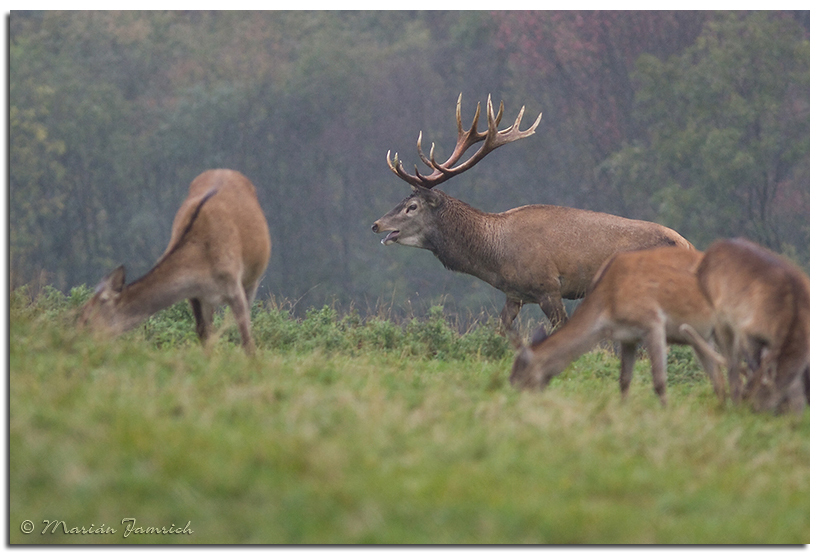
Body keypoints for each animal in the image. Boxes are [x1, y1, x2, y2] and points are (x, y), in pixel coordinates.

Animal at [77, 168, 270, 356]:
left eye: (86, 319)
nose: (78, 342)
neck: (202, 264)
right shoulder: (196, 296)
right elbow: (204, 338)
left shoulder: (234, 286)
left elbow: (247, 342)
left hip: (252, 279)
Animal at [374, 94, 696, 334]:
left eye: (412, 207)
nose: (376, 224)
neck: (496, 255)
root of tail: (690, 247)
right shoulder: (515, 294)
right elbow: (500, 331)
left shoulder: (549, 287)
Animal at [510, 247, 728, 406]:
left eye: (521, 378)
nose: (516, 399)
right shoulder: (627, 336)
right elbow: (624, 380)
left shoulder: (653, 322)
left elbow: (659, 380)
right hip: (703, 336)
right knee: (718, 377)